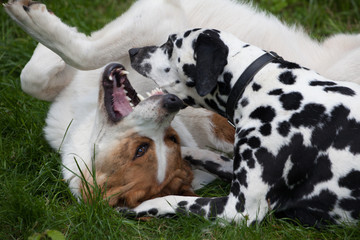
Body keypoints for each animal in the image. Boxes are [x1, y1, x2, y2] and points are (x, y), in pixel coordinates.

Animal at [129, 29, 360, 226]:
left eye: (170, 44)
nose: (132, 52)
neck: (262, 86)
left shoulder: (237, 209)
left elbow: (176, 200)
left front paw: (142, 206)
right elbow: (207, 155)